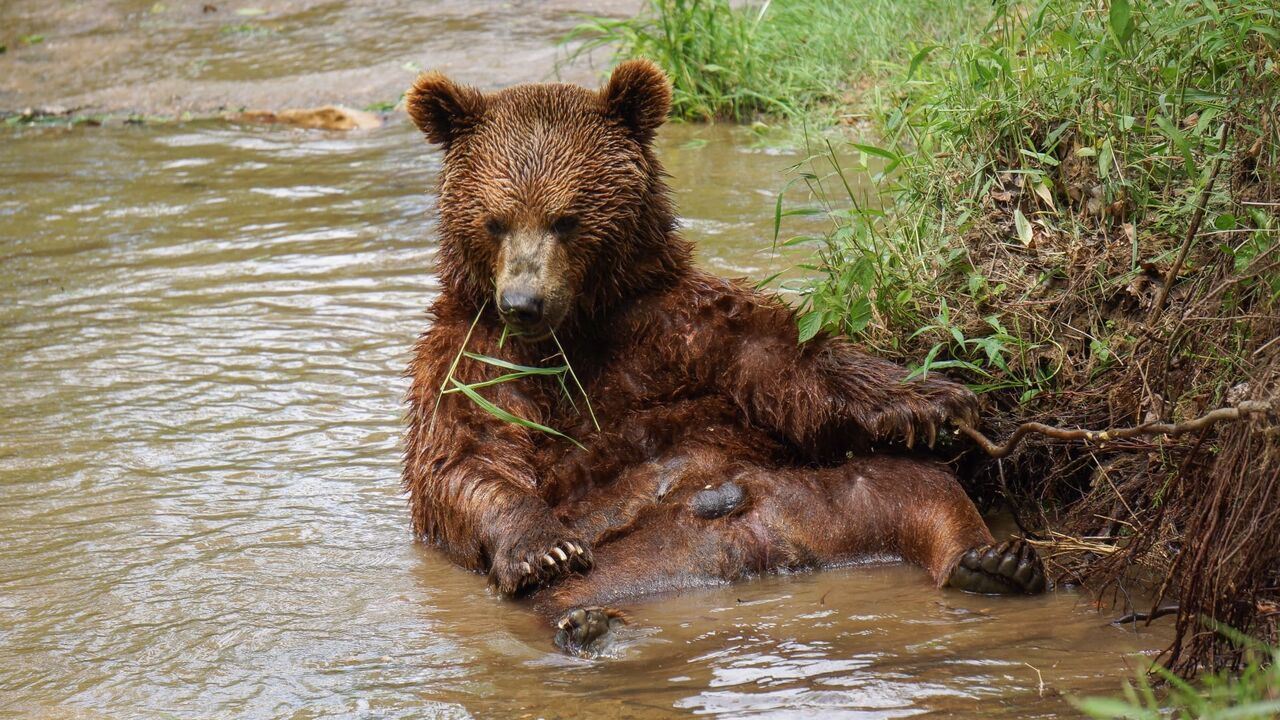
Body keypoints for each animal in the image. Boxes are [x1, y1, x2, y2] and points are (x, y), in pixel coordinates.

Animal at [404, 58, 1044, 653]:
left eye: (567, 220)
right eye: (495, 221)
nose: (523, 303)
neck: (583, 325)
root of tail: (748, 555)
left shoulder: (684, 323)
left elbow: (792, 366)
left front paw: (937, 401)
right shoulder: (474, 357)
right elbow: (466, 455)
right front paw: (542, 546)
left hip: (833, 495)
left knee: (921, 488)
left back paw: (992, 563)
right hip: (611, 565)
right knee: (565, 594)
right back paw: (589, 625)